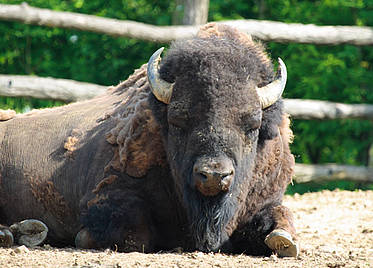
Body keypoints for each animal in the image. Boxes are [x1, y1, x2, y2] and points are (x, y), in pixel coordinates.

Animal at [0, 24, 296, 256]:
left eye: (253, 124)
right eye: (177, 120)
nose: (213, 175)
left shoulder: (266, 200)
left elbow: (281, 222)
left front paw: (283, 240)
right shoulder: (112, 194)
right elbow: (135, 235)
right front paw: (84, 237)